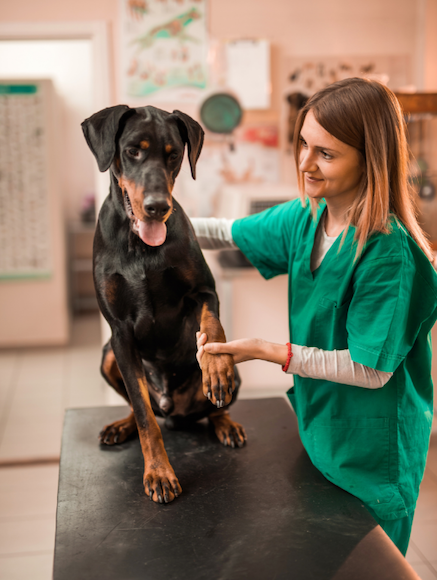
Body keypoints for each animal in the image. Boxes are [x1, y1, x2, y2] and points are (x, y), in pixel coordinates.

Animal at [81, 104, 245, 502]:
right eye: (132, 151)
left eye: (173, 155)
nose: (158, 207)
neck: (141, 246)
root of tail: (174, 409)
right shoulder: (119, 333)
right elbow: (143, 414)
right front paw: (158, 473)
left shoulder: (205, 290)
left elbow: (212, 327)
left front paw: (215, 368)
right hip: (108, 356)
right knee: (141, 406)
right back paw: (121, 425)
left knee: (215, 409)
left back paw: (225, 420)